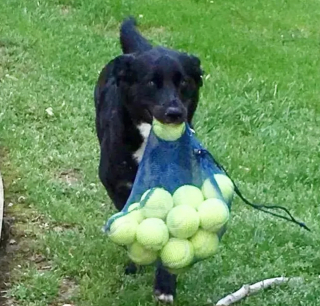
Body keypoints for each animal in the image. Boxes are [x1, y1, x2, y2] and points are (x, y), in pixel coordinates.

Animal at [94, 17, 202, 302]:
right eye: (152, 83)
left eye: (184, 82)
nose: (175, 112)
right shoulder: (118, 184)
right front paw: (135, 262)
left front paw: (165, 284)